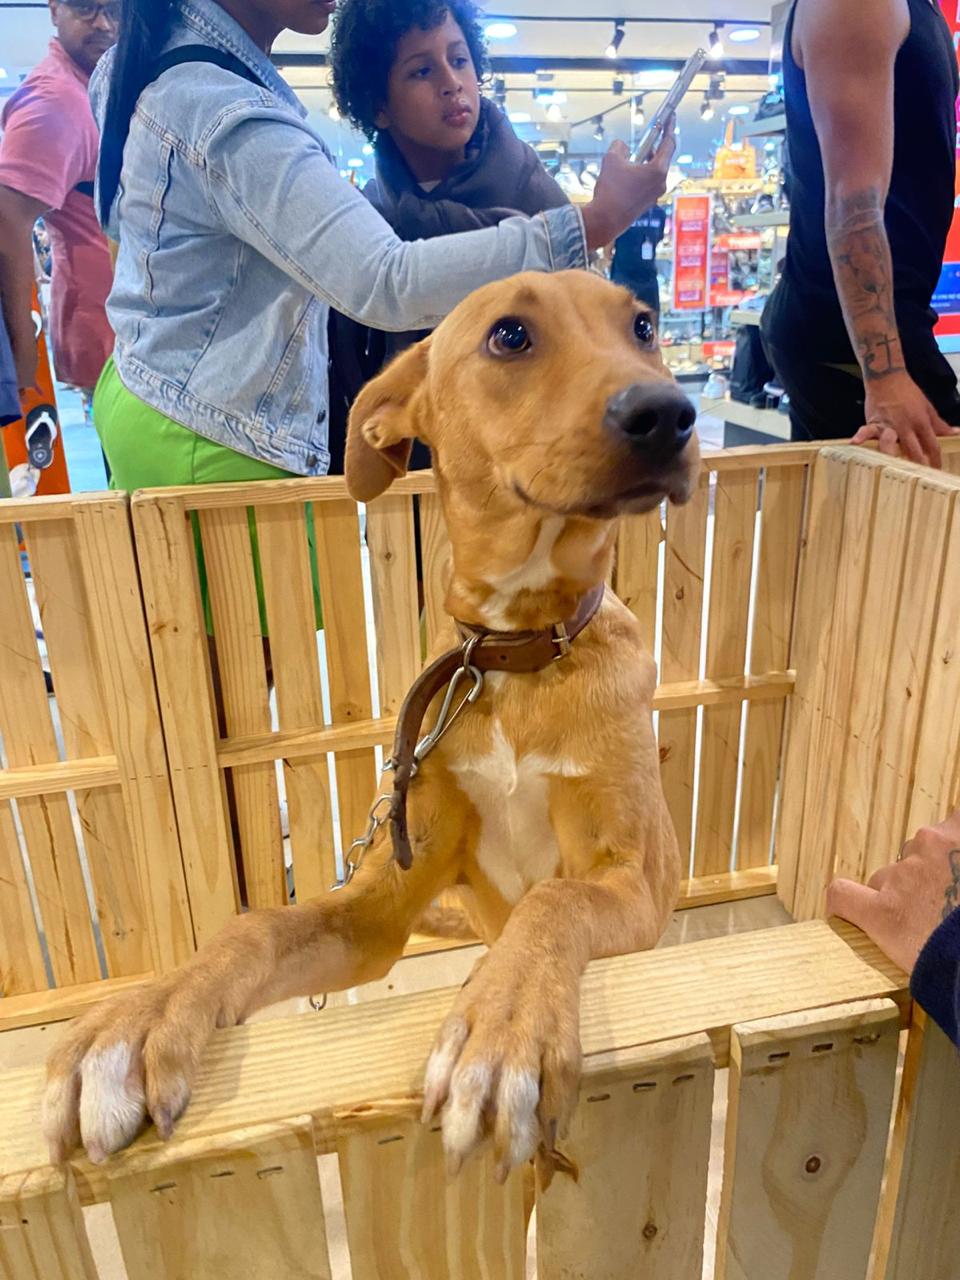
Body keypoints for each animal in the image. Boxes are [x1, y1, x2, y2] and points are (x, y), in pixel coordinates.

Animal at [43, 269, 700, 1182]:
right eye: (509, 335)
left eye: (643, 326)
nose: (669, 413)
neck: (512, 655)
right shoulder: (380, 904)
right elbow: (256, 924)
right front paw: (141, 1018)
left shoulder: (630, 877)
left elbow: (555, 900)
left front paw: (504, 1024)